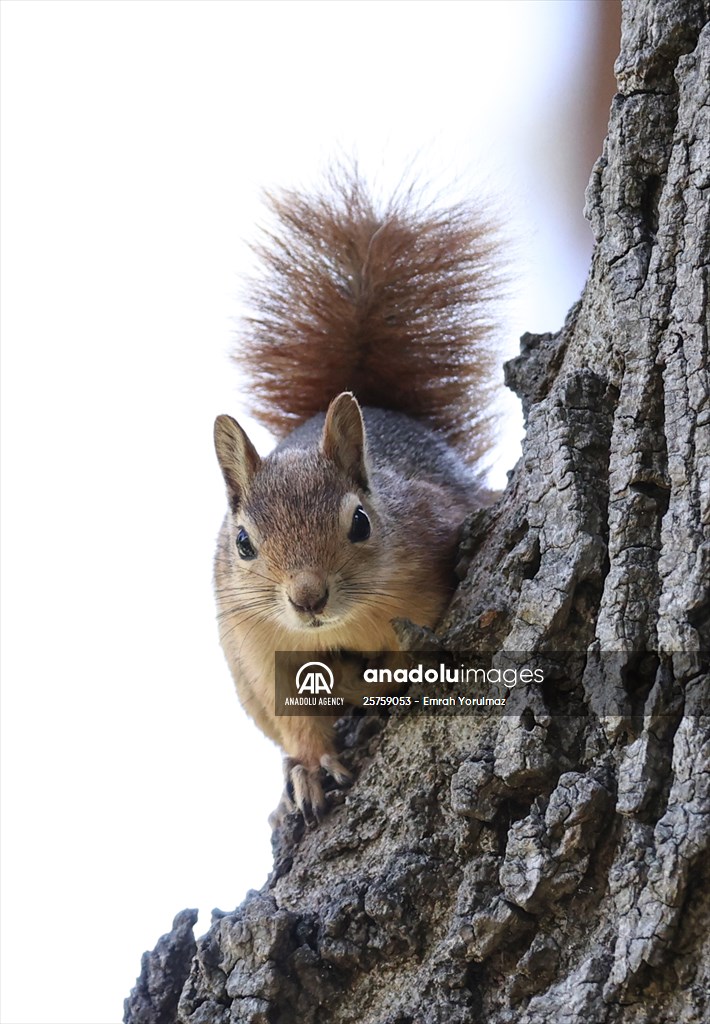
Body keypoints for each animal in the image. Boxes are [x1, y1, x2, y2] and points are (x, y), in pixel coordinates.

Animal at [213, 168, 501, 823]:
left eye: (362, 523)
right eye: (242, 543)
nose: (307, 597)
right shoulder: (257, 652)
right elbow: (296, 721)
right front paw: (311, 768)